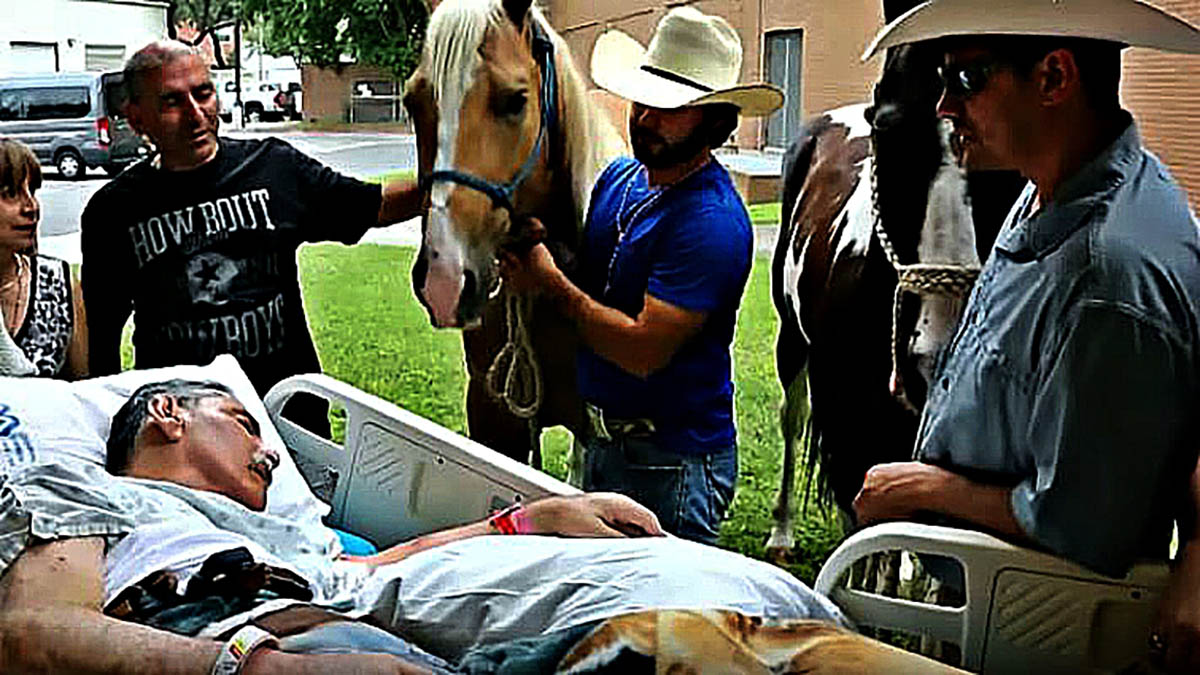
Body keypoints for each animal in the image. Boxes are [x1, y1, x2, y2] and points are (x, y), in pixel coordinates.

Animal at [768, 40, 1022, 552]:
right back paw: (782, 530)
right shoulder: (851, 425)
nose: (935, 358)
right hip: (793, 341)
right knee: (793, 417)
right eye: (889, 126)